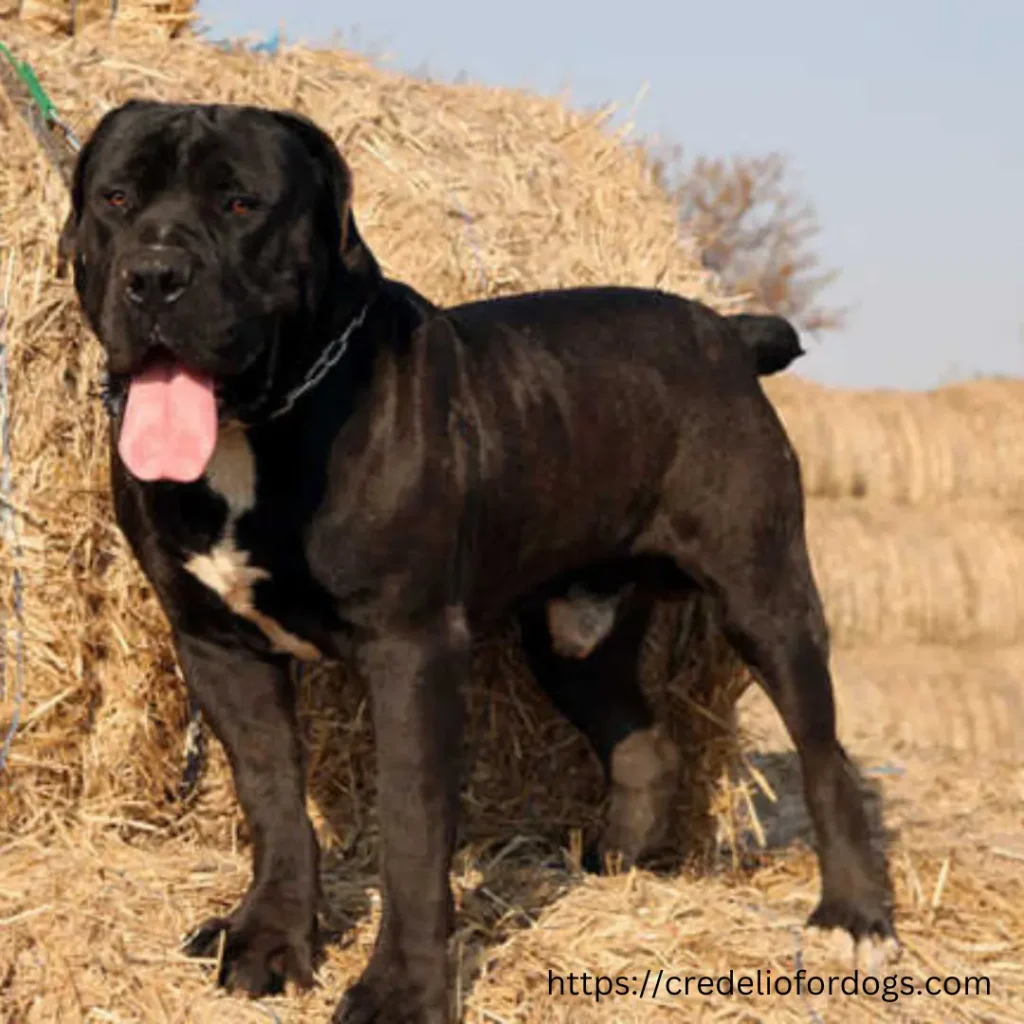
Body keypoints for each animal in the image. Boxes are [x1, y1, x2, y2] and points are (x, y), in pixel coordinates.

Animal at [59, 99, 897, 1019]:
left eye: (240, 204)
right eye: (116, 197)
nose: (154, 274)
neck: (263, 424)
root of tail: (726, 328)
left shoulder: (412, 649)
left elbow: (413, 828)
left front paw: (402, 989)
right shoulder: (219, 646)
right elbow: (271, 797)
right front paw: (270, 940)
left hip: (765, 596)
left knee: (825, 754)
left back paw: (854, 917)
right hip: (574, 637)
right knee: (646, 746)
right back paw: (614, 869)